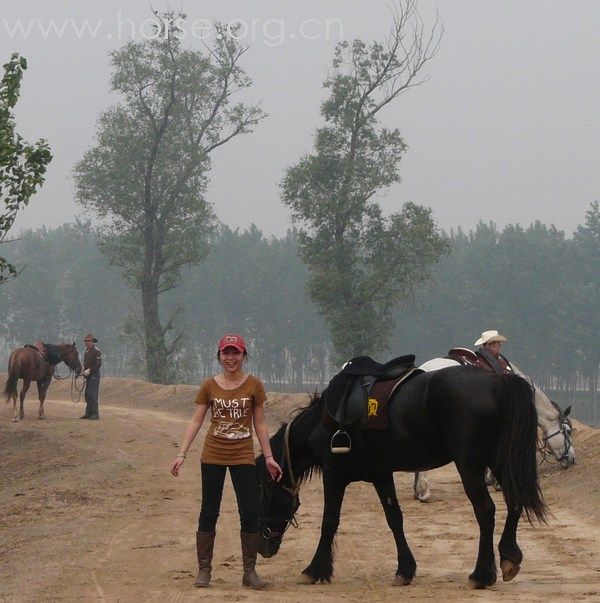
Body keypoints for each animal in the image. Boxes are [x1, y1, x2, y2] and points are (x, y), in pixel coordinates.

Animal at [258, 366, 548, 592]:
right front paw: (405, 570)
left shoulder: (333, 474)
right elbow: (394, 519)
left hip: (470, 466)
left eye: (265, 490)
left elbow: (329, 521)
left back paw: (481, 574)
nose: (264, 547)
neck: (322, 422)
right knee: (514, 502)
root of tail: (496, 381)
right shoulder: (381, 475)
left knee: (485, 511)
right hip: (498, 461)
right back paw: (509, 557)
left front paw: (314, 569)